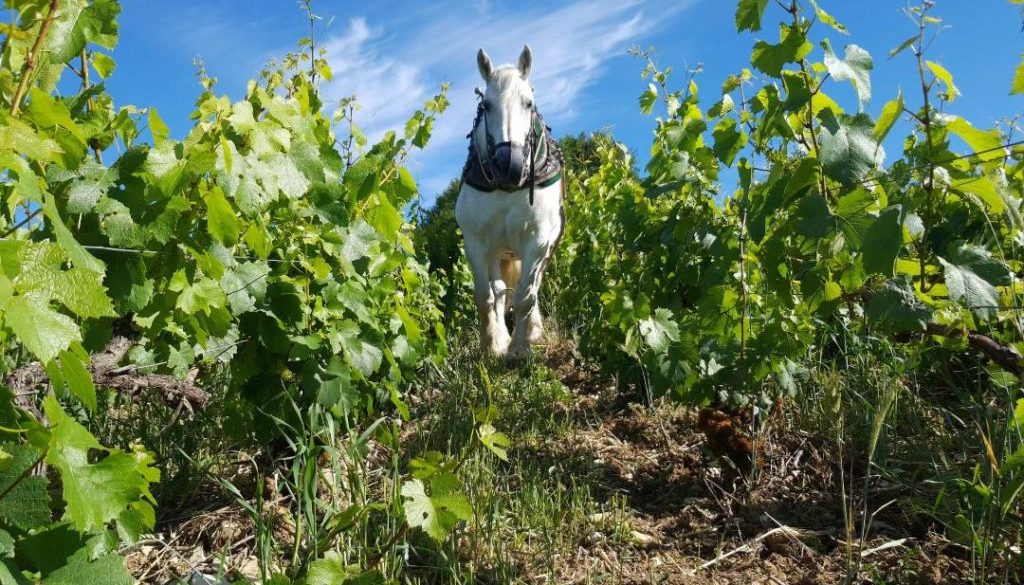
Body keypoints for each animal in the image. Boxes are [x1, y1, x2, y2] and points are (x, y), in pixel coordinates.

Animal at [458, 44, 569, 362]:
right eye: (486, 106)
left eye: (528, 103)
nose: (509, 164)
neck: (507, 187)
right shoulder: (476, 243)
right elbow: (484, 295)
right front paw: (491, 344)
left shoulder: (539, 241)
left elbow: (524, 297)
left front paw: (521, 347)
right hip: (499, 252)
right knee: (499, 290)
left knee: (531, 287)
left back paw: (533, 331)